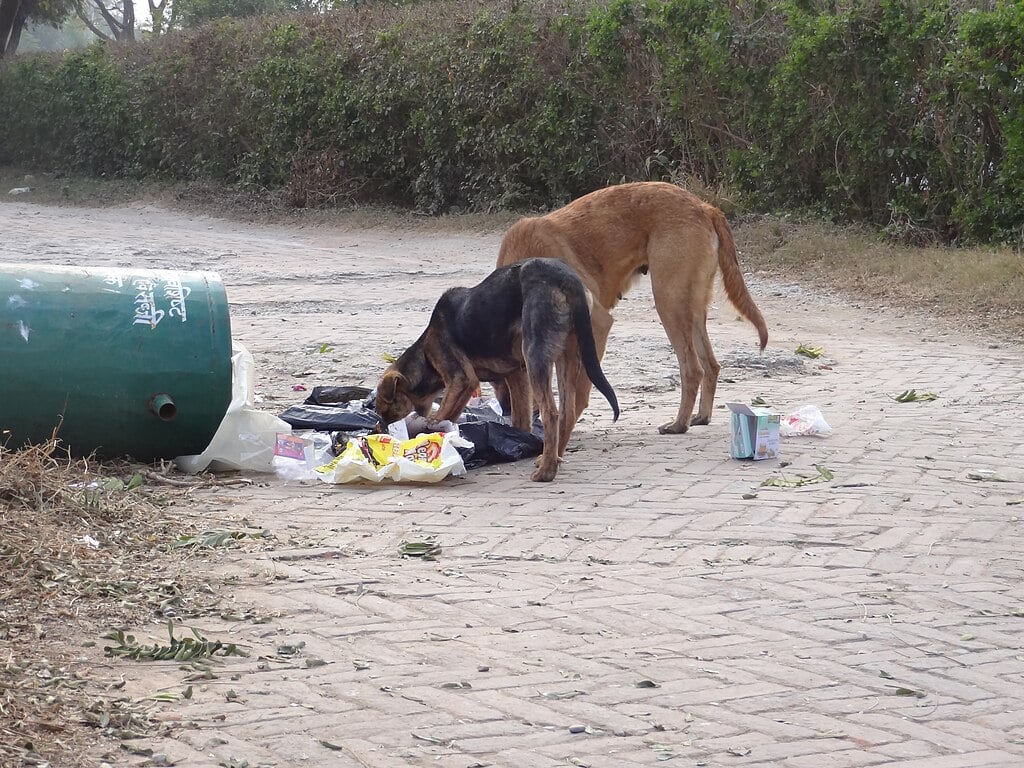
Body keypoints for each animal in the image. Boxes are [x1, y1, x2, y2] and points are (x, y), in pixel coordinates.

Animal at [374, 257, 614, 481]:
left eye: (386, 408)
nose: (379, 429)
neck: (424, 355)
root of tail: (566, 277)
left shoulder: (461, 380)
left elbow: (441, 417)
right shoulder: (517, 375)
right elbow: (520, 420)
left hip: (536, 354)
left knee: (550, 413)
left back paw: (546, 471)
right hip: (568, 354)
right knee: (567, 412)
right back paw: (554, 459)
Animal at [495, 177, 770, 436]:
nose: (507, 410)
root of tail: (705, 207)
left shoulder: (596, 325)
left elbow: (579, 389)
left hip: (669, 302)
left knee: (693, 369)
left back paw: (678, 424)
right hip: (691, 308)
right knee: (711, 365)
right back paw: (700, 416)